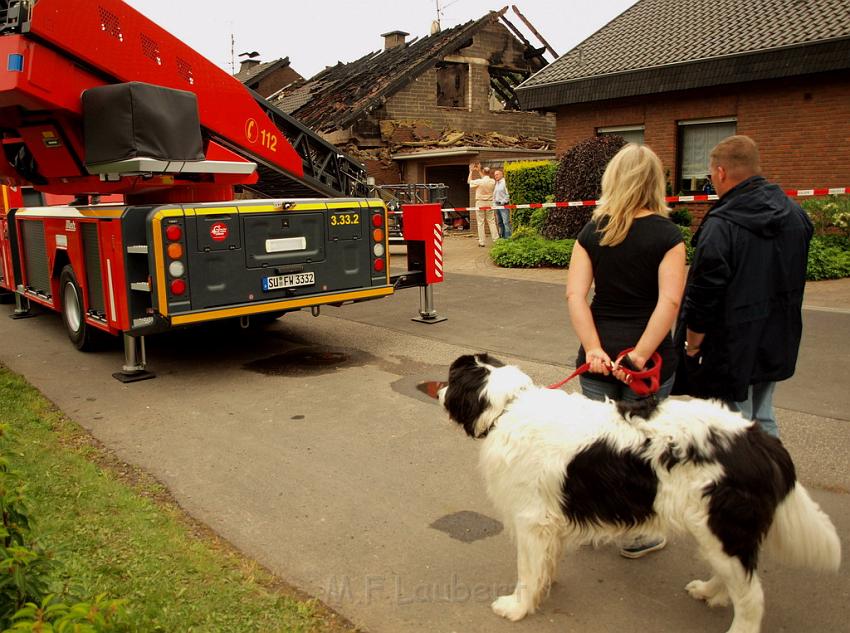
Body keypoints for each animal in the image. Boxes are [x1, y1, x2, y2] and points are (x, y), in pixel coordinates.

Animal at [440, 354, 840, 628]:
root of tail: (759, 441)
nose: (439, 388)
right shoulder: (548, 522)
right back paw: (709, 591)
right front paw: (544, 586)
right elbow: (545, 562)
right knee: (736, 579)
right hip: (716, 531)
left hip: (722, 526)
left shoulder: (531, 519)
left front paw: (517, 607)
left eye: (450, 377)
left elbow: (526, 568)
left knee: (752, 596)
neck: (510, 407)